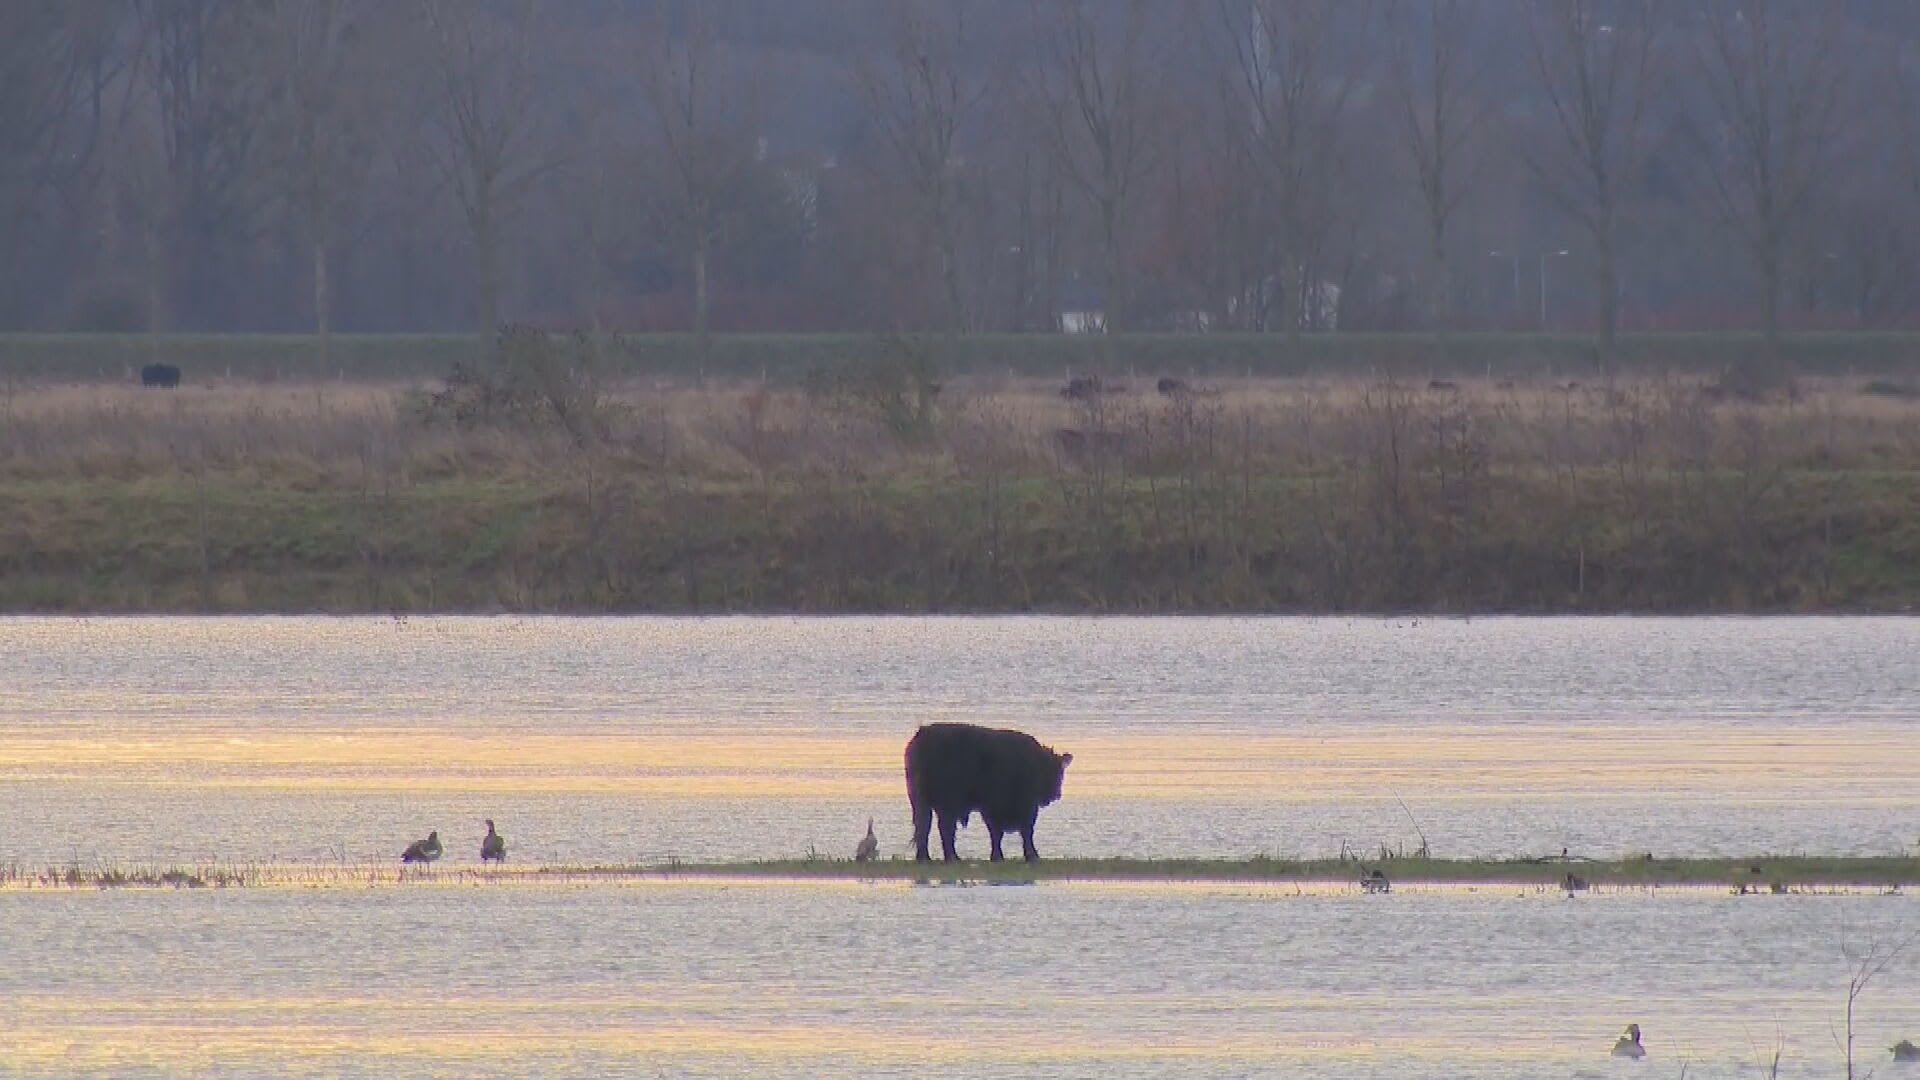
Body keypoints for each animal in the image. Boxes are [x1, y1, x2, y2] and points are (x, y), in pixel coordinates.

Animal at [906, 718, 1075, 860]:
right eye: (1054, 771)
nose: (1056, 794)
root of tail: (924, 734)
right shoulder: (1012, 806)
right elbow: (1017, 831)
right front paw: (1028, 856)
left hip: (921, 802)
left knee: (924, 826)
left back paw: (926, 858)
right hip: (948, 802)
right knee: (944, 828)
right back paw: (951, 857)